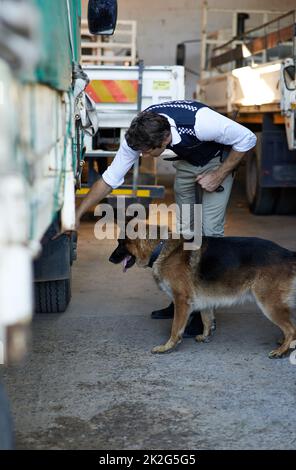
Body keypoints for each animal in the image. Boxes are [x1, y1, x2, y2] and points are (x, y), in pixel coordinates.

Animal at [108, 231, 296, 356]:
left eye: (120, 243)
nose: (109, 259)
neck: (160, 249)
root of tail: (288, 253)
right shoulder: (205, 300)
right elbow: (207, 319)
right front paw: (206, 336)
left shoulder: (181, 301)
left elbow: (175, 328)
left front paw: (167, 347)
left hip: (269, 305)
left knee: (291, 329)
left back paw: (282, 350)